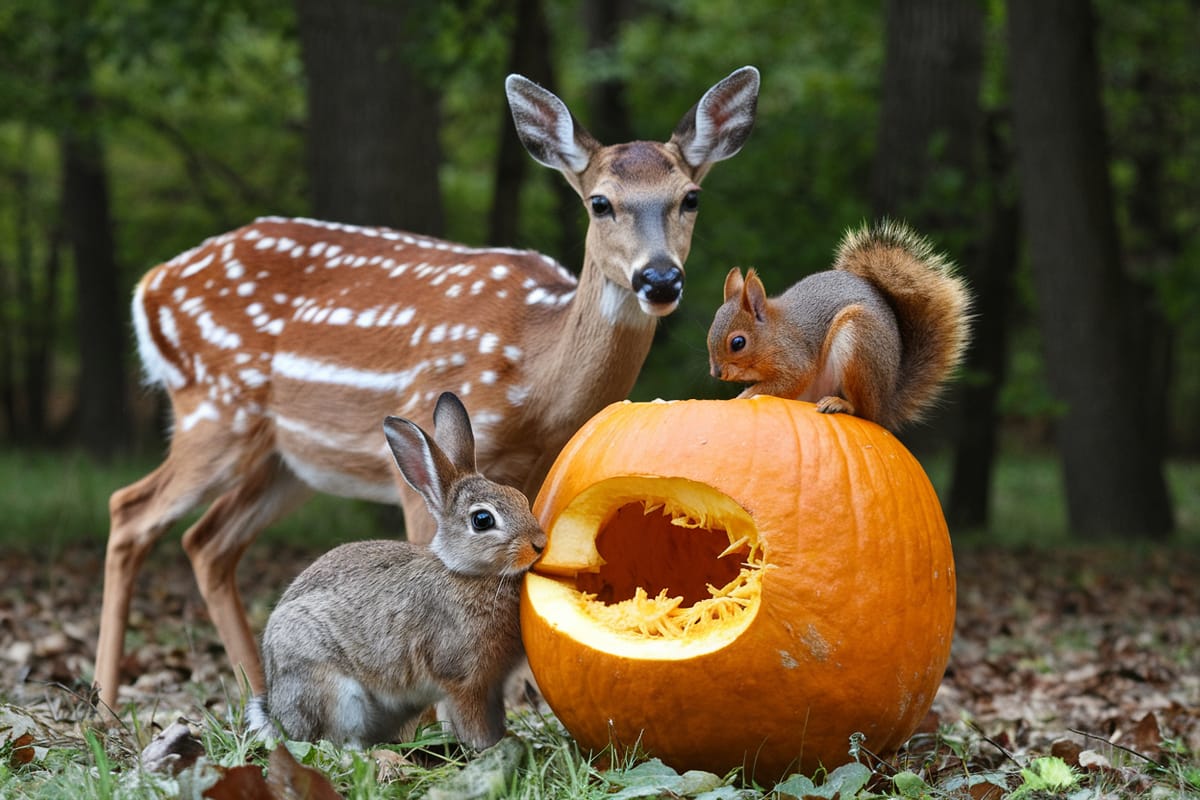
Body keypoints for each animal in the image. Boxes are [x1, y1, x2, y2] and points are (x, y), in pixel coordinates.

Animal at [248, 393, 549, 753]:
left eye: (519, 498)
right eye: (482, 520)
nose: (539, 544)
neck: (467, 574)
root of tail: (277, 714)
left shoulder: (492, 684)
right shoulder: (463, 679)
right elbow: (471, 719)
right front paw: (487, 747)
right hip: (332, 689)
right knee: (334, 741)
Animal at [705, 219, 969, 431]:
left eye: (738, 343)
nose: (716, 373)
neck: (772, 332)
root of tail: (884, 405)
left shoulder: (794, 357)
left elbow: (786, 382)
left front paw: (744, 396)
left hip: (860, 345)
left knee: (863, 411)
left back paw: (840, 404)